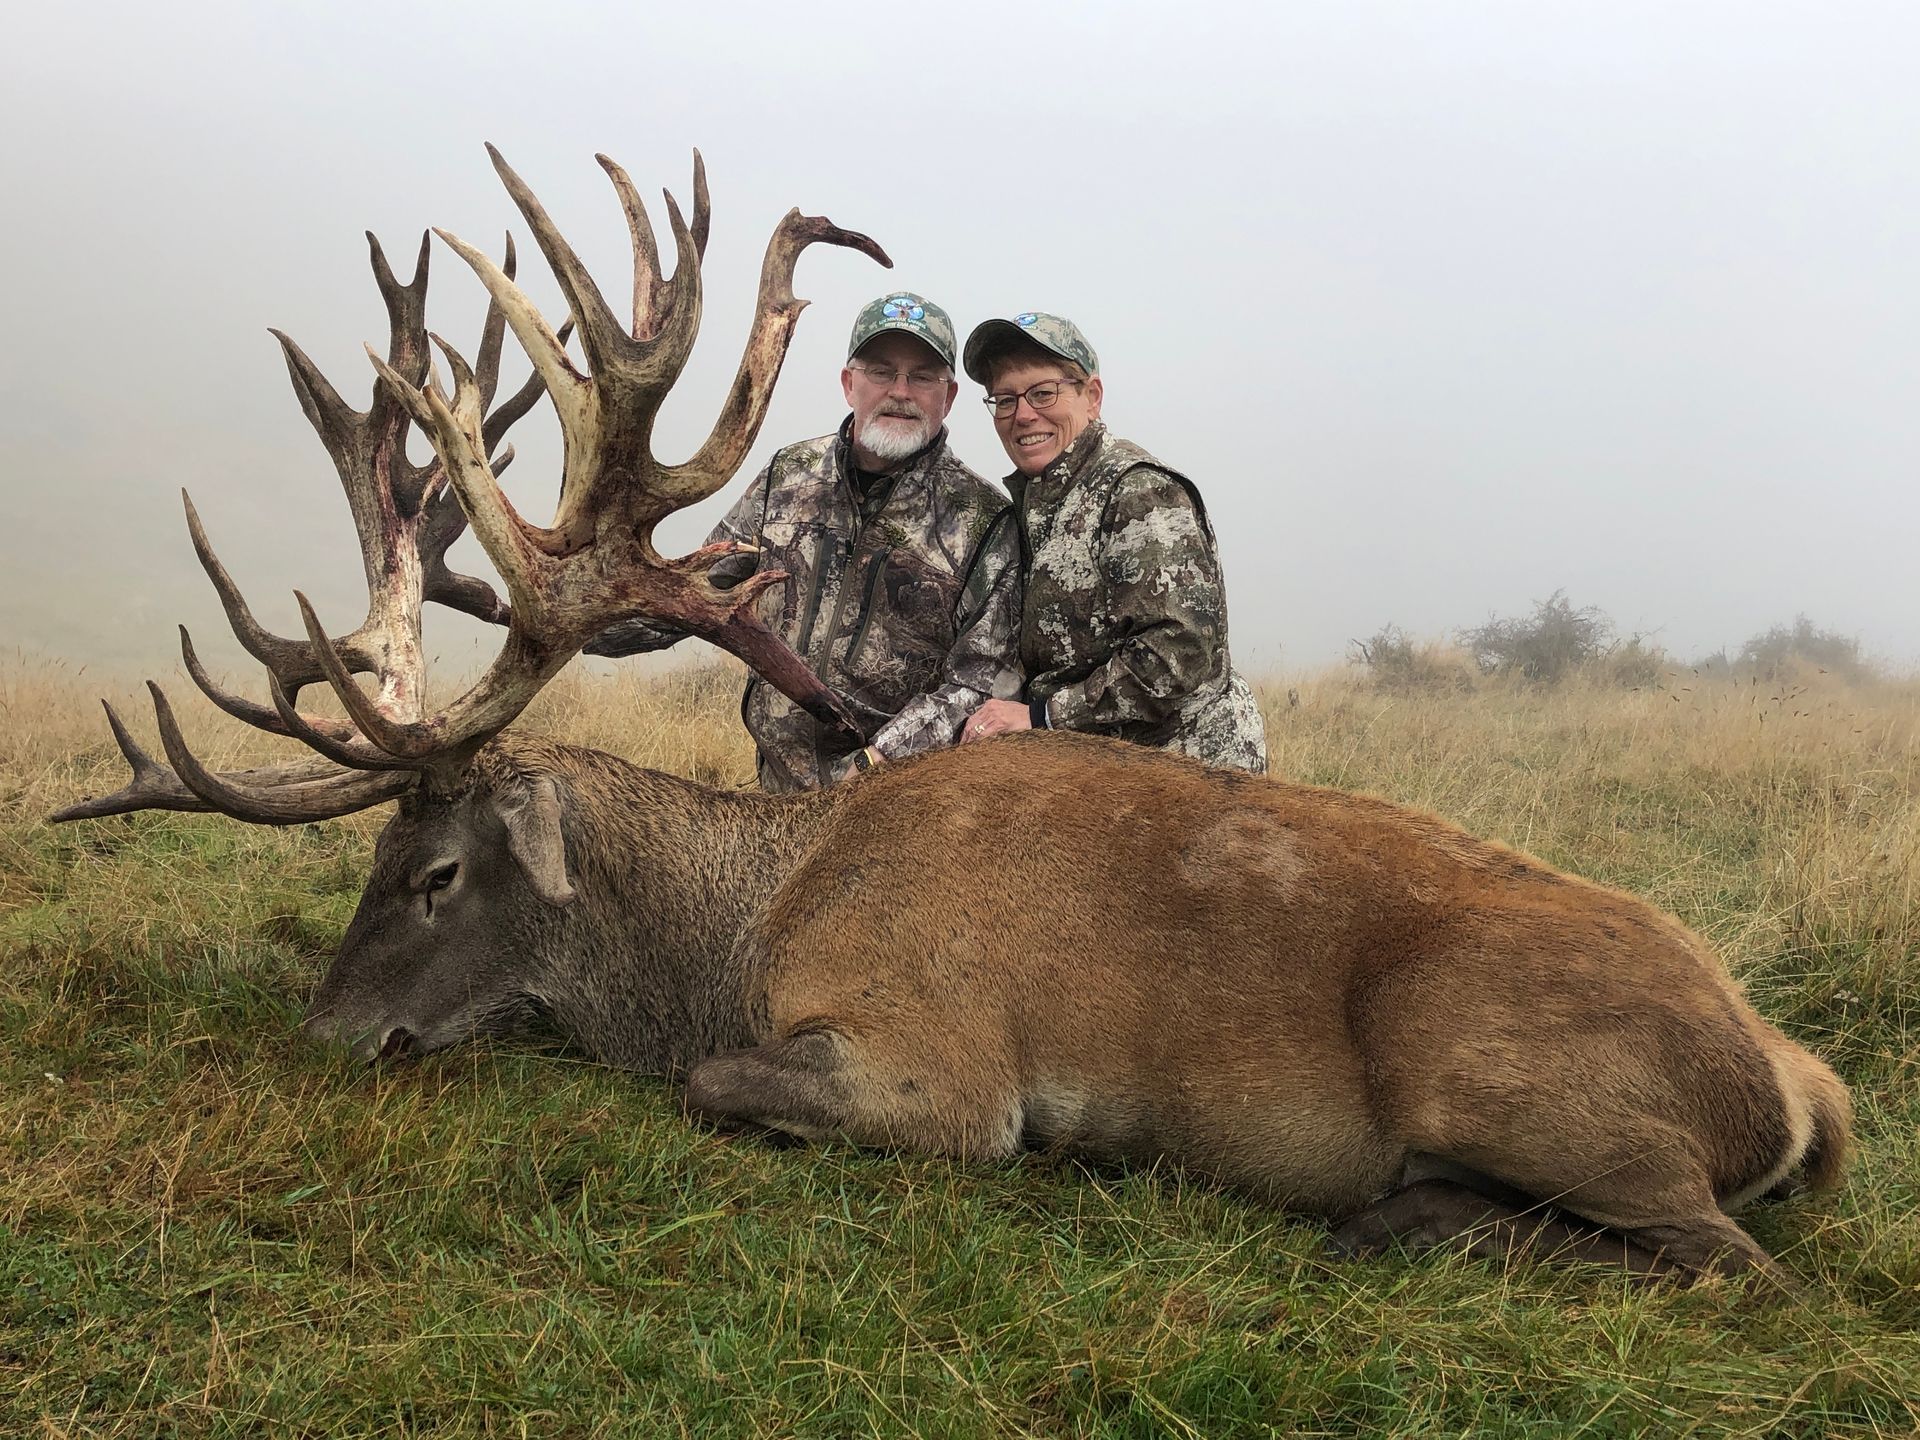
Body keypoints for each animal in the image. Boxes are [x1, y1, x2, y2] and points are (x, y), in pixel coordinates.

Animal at [54, 146, 1850, 1287]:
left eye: (435, 872)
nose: (324, 1034)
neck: (742, 926)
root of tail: (1789, 1079)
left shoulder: (936, 1066)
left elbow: (717, 1086)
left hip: (1507, 1069)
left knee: (1735, 1264)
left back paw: (1399, 1217)